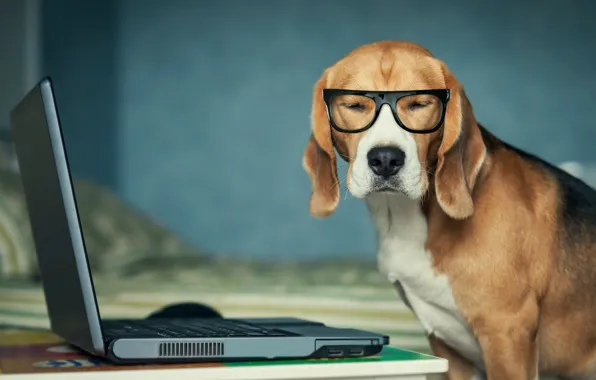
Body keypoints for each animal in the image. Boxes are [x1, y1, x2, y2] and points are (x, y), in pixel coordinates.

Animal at [304, 40, 596, 378]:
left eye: (419, 104)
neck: (407, 218)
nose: (386, 159)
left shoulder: (507, 334)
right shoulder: (448, 351)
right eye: (353, 105)